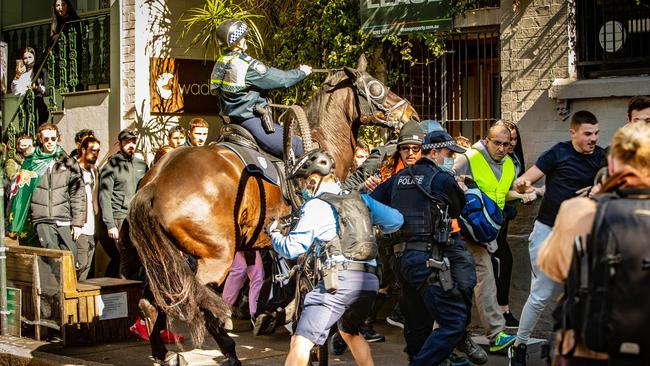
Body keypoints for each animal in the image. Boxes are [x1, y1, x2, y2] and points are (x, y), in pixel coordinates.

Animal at [126, 55, 416, 364]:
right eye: (376, 87)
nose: (411, 115)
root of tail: (156, 181)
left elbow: (284, 274)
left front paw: (275, 312)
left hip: (167, 260)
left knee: (154, 302)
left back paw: (163, 352)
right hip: (215, 257)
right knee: (200, 304)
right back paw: (229, 350)